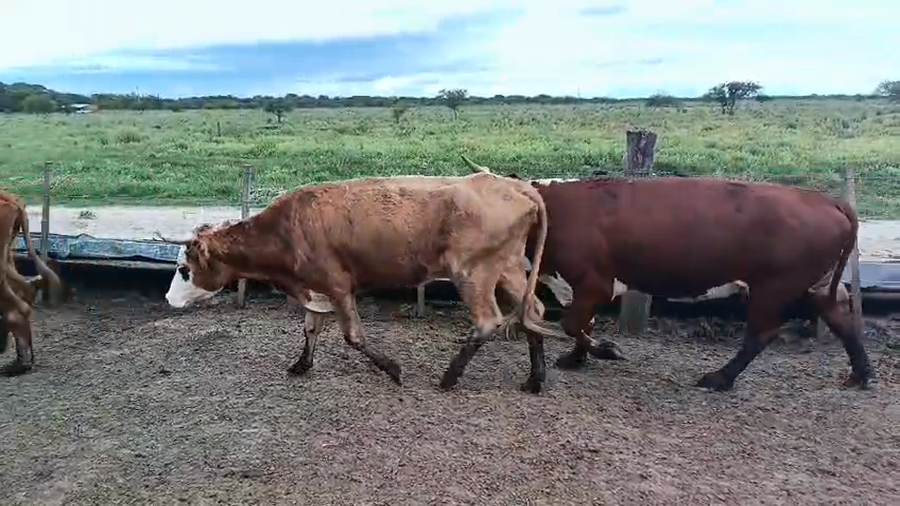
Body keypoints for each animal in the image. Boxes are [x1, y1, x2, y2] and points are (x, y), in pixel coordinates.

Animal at [158, 172, 561, 393]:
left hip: (474, 273)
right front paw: (301, 364)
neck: (288, 229)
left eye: (183, 269)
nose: (168, 299)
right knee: (534, 310)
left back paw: (450, 376)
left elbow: (353, 336)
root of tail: (512, 186)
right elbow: (311, 328)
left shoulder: (337, 285)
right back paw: (535, 378)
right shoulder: (316, 288)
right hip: (509, 268)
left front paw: (393, 369)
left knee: (488, 320)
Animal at [462, 156, 873, 392]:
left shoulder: (595, 282)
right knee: (840, 318)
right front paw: (577, 358)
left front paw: (605, 351)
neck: (553, 208)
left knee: (761, 334)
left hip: (774, 287)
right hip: (814, 285)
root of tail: (824, 199)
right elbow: (582, 323)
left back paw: (719, 379)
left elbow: (574, 323)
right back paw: (861, 374)